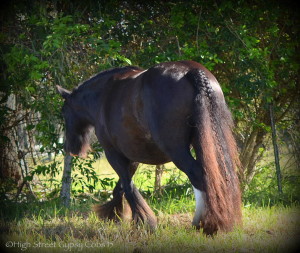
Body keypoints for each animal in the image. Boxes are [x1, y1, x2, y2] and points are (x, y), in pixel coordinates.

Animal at [58, 60, 241, 234]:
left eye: (64, 112)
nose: (70, 147)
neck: (105, 94)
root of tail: (191, 71)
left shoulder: (113, 154)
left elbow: (128, 186)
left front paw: (142, 222)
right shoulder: (132, 157)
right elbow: (121, 187)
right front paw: (115, 214)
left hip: (177, 151)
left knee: (198, 175)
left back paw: (203, 224)